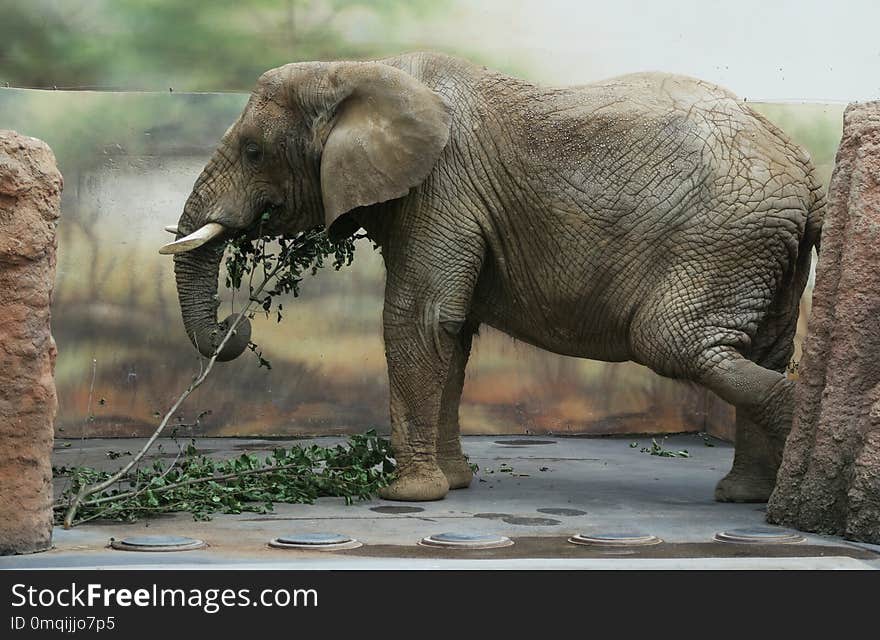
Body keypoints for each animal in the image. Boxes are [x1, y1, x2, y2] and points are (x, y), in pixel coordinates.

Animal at [160, 52, 824, 502]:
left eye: (253, 152)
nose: (238, 329)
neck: (361, 70)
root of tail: (806, 167)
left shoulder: (442, 188)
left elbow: (418, 320)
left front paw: (405, 496)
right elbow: (450, 336)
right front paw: (453, 483)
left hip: (724, 237)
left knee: (674, 341)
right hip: (767, 249)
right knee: (761, 348)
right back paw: (745, 494)